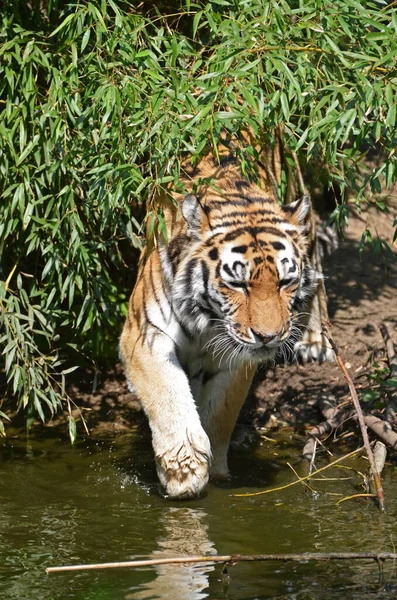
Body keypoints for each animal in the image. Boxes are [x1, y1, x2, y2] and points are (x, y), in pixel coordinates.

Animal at [120, 134, 332, 500]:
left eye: (285, 281)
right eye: (238, 283)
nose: (269, 337)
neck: (208, 318)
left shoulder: (239, 357)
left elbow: (219, 415)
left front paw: (216, 473)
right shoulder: (144, 334)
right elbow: (169, 397)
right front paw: (184, 470)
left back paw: (315, 341)